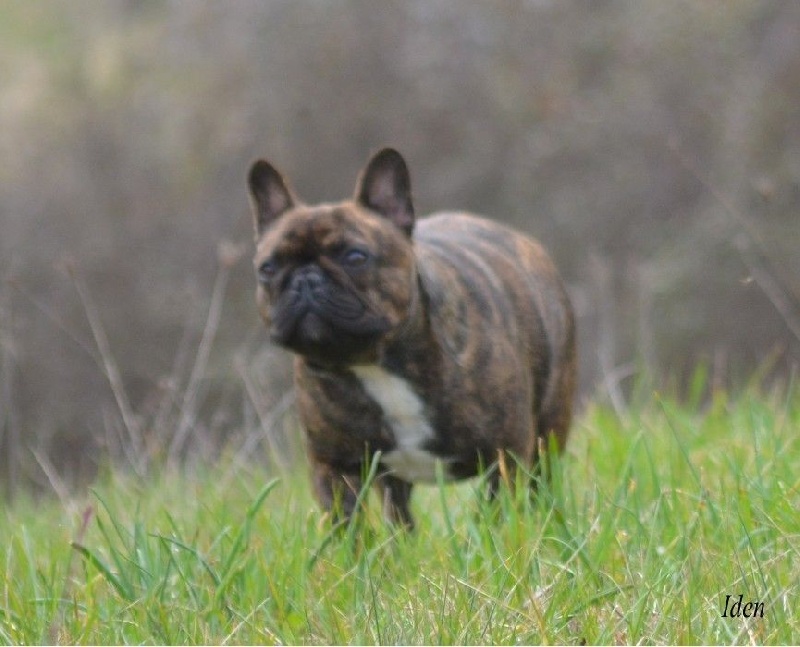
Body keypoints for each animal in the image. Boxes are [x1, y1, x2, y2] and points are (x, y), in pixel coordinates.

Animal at [245, 149, 576, 528]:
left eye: (355, 256)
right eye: (267, 268)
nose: (304, 280)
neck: (373, 364)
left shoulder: (507, 455)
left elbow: (496, 509)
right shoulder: (334, 466)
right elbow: (349, 527)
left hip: (548, 433)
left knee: (540, 485)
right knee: (398, 514)